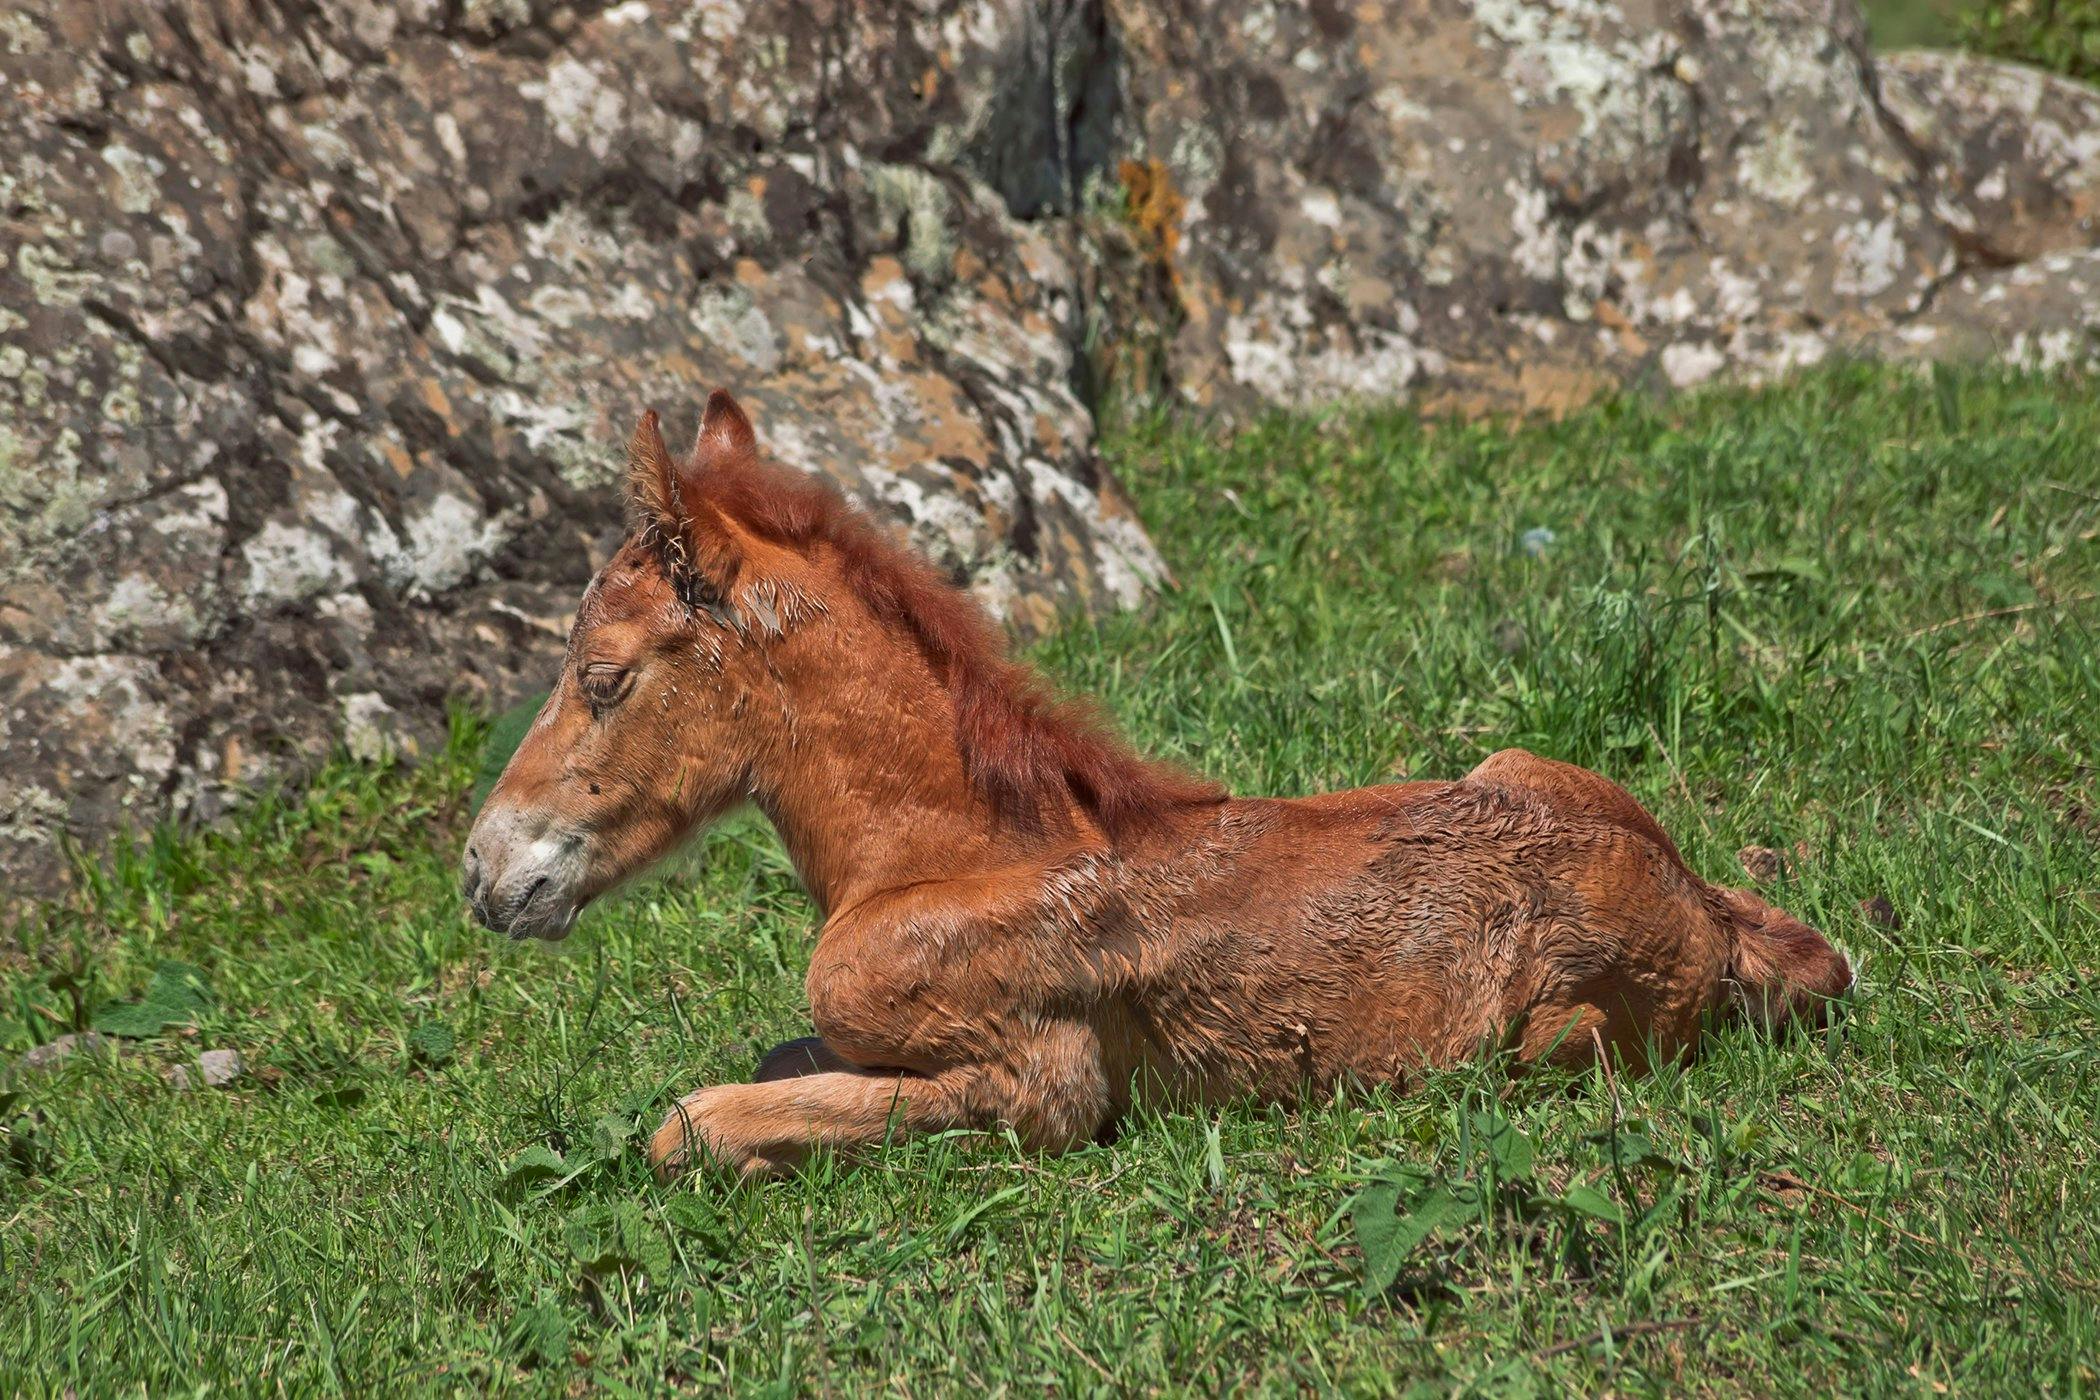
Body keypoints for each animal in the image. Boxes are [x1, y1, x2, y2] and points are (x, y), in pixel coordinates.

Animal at [464, 392, 1856, 1183]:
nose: (485, 869)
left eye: (602, 675)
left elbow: (694, 1123)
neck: (944, 854)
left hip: (1556, 1040)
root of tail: (1701, 905)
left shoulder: (1038, 1083)